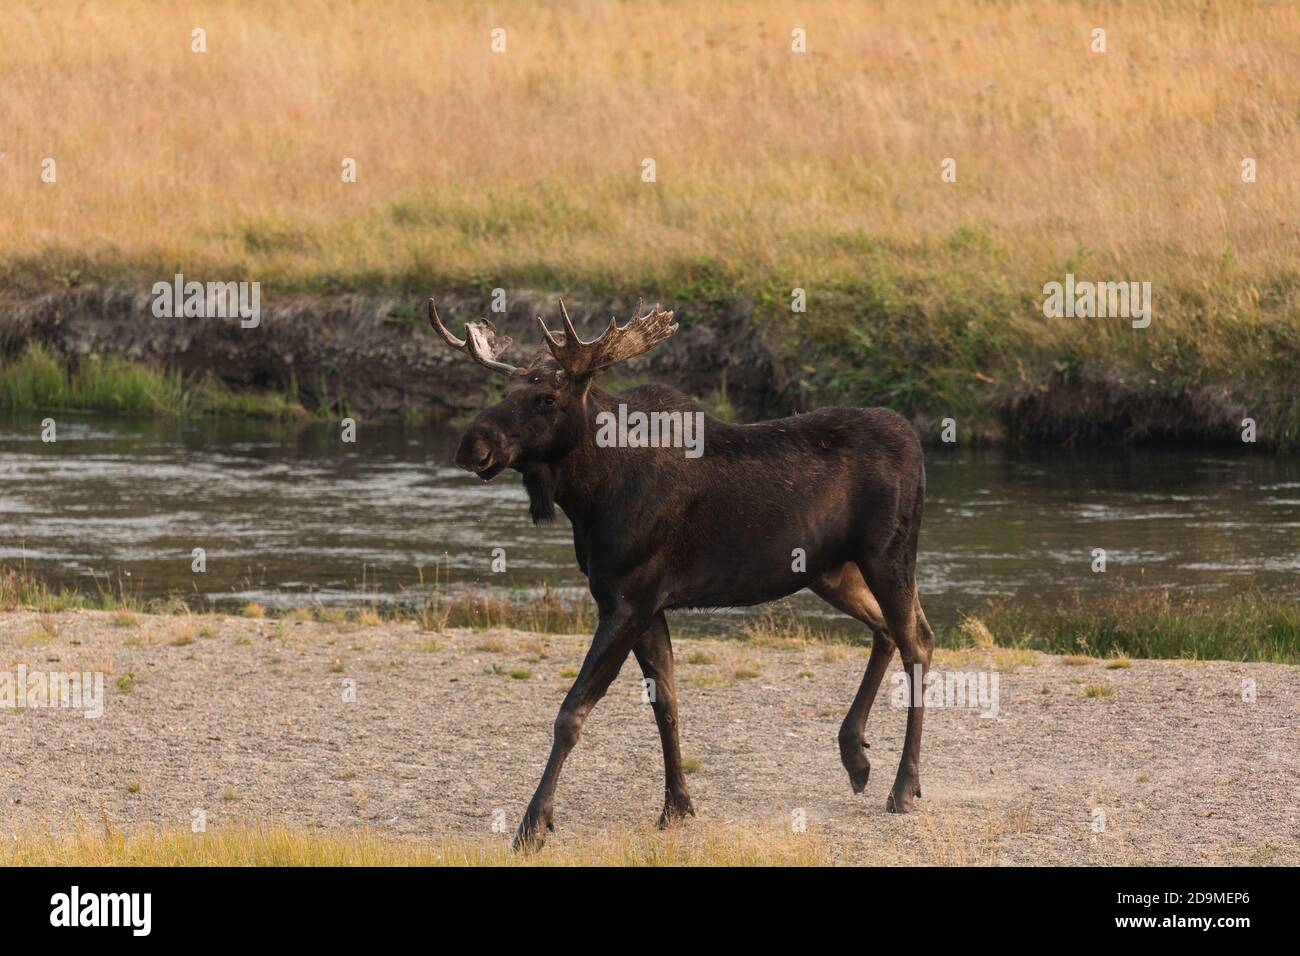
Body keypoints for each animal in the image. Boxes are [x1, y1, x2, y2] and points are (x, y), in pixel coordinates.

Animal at [434, 295, 935, 848]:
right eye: (506, 390)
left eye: (546, 397)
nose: (471, 445)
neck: (588, 494)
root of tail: (917, 445)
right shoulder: (644, 605)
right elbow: (667, 706)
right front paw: (677, 806)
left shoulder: (630, 600)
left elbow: (571, 712)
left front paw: (533, 823)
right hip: (833, 570)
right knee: (892, 631)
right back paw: (856, 757)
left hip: (887, 555)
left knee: (916, 642)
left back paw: (903, 787)